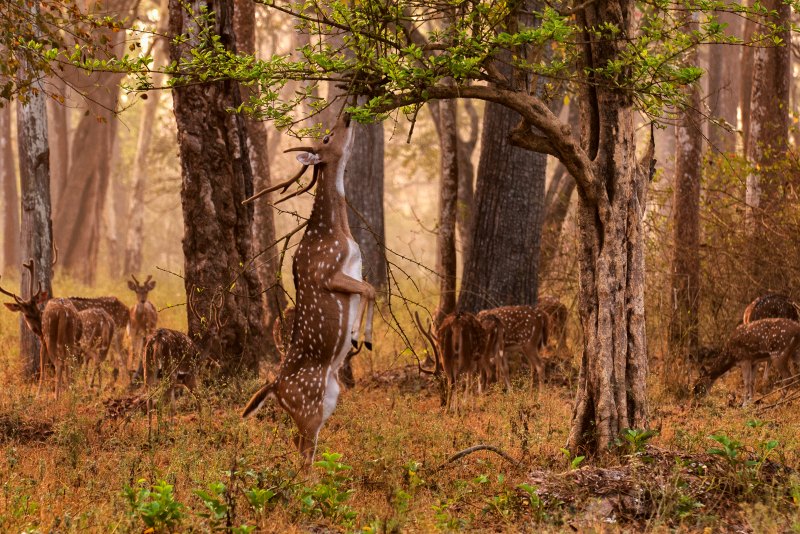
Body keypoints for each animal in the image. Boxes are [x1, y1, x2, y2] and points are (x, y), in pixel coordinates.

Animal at [1, 260, 83, 398]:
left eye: (35, 310)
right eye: (27, 314)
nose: (36, 327)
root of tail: (63, 311)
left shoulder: (43, 341)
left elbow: (43, 368)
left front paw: (38, 395)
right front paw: (67, 389)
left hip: (50, 336)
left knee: (59, 363)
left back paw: (56, 396)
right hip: (71, 336)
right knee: (70, 361)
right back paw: (71, 392)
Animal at [239, 112, 376, 464]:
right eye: (326, 138)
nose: (348, 115)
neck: (337, 231)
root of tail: (274, 387)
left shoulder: (353, 271)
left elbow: (369, 288)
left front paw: (355, 335)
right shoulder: (326, 272)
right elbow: (370, 290)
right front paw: (362, 337)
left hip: (328, 399)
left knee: (298, 444)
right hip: (308, 405)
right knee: (302, 451)